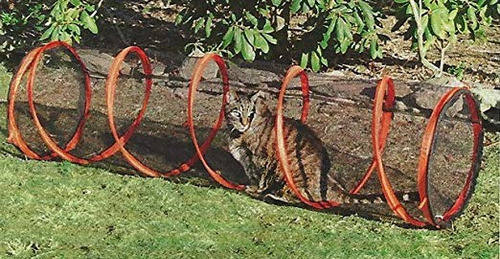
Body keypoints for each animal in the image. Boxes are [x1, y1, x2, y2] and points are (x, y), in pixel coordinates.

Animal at [225, 90, 412, 206]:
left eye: (251, 113)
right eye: (237, 113)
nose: (245, 123)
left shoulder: (261, 159)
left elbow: (259, 178)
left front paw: (255, 189)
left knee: (303, 199)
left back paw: (274, 195)